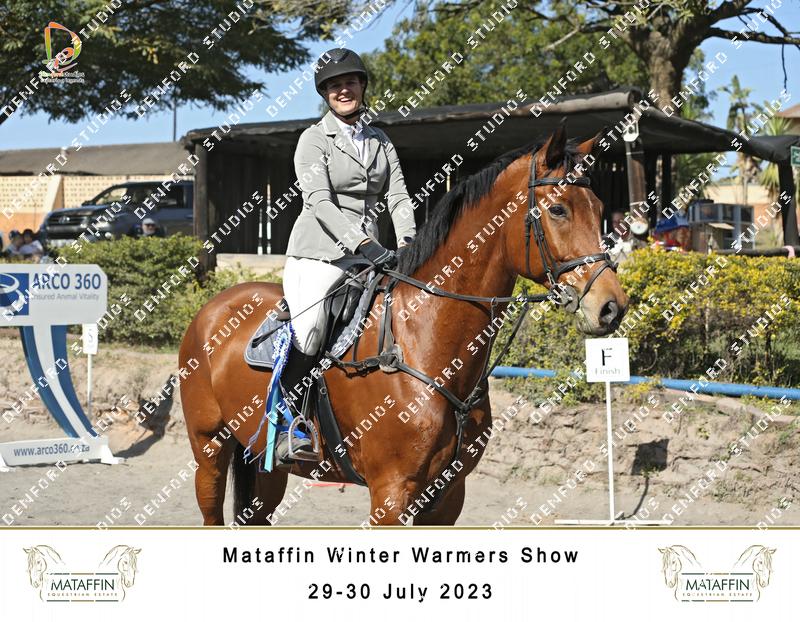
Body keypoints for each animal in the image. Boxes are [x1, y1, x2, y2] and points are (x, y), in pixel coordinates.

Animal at [179, 125, 628, 525]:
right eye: (558, 209)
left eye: (600, 211)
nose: (612, 308)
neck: (425, 343)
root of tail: (211, 308)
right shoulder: (391, 495)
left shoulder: (447, 497)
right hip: (209, 450)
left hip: (264, 464)